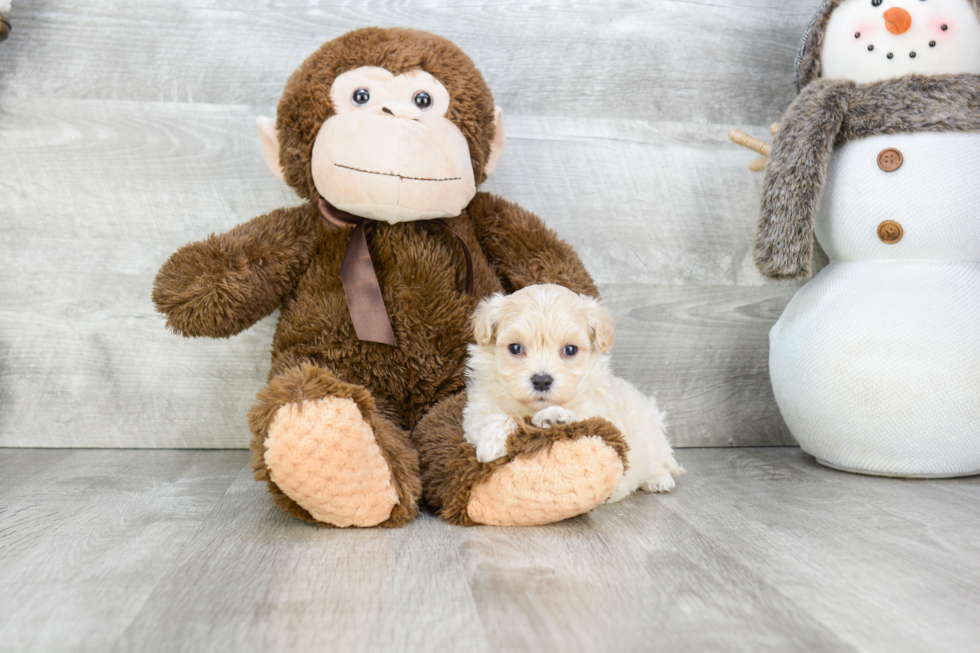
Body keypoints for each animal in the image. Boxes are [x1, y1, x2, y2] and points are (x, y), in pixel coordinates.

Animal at [466, 282, 680, 500]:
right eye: (515, 348)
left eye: (570, 350)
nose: (541, 380)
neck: (533, 409)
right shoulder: (476, 411)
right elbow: (496, 418)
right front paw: (491, 442)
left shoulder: (603, 418)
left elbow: (586, 421)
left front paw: (555, 416)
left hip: (651, 430)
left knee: (660, 459)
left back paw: (658, 478)